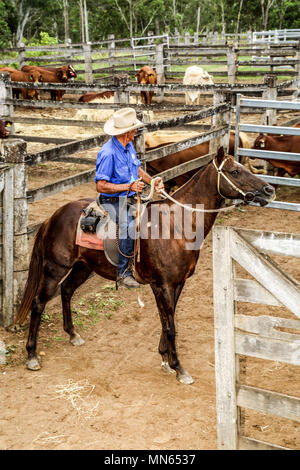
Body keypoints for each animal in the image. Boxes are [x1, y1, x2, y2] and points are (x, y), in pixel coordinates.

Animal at [15, 149, 276, 384]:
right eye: (235, 171)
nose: (269, 190)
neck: (176, 226)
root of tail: (53, 216)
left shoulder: (177, 283)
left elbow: (167, 321)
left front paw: (165, 359)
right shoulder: (162, 285)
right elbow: (170, 326)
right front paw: (179, 367)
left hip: (83, 267)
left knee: (67, 290)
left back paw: (72, 334)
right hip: (55, 269)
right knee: (38, 303)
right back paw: (32, 355)